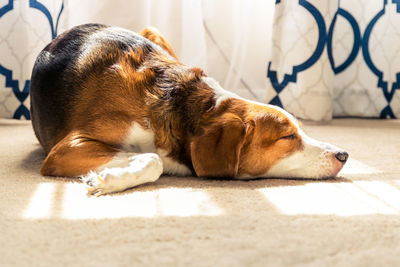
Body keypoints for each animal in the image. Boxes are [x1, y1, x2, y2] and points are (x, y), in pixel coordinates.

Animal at [29, 24, 346, 196]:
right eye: (287, 137)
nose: (344, 154)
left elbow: (154, 158)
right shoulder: (65, 149)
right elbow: (153, 159)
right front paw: (107, 180)